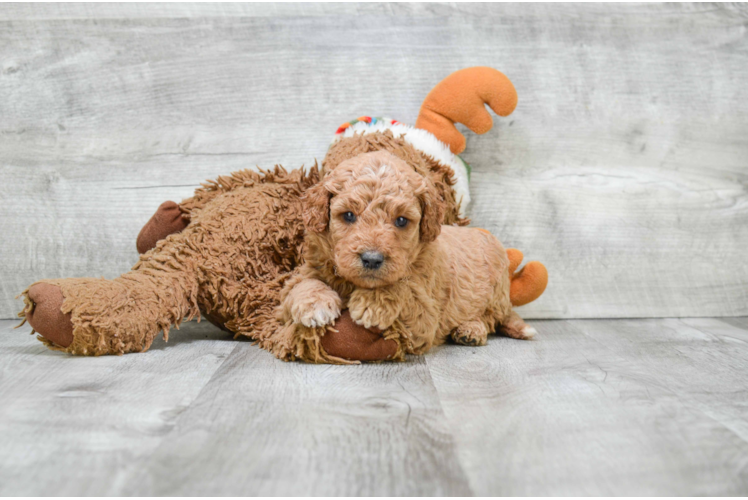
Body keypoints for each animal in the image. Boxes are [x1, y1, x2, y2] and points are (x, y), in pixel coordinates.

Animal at [280, 150, 536, 358]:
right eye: (349, 215)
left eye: (401, 220)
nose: (372, 259)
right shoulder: (303, 274)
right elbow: (301, 284)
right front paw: (315, 304)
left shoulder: (425, 318)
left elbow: (403, 289)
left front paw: (372, 303)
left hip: (495, 294)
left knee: (489, 318)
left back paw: (471, 330)